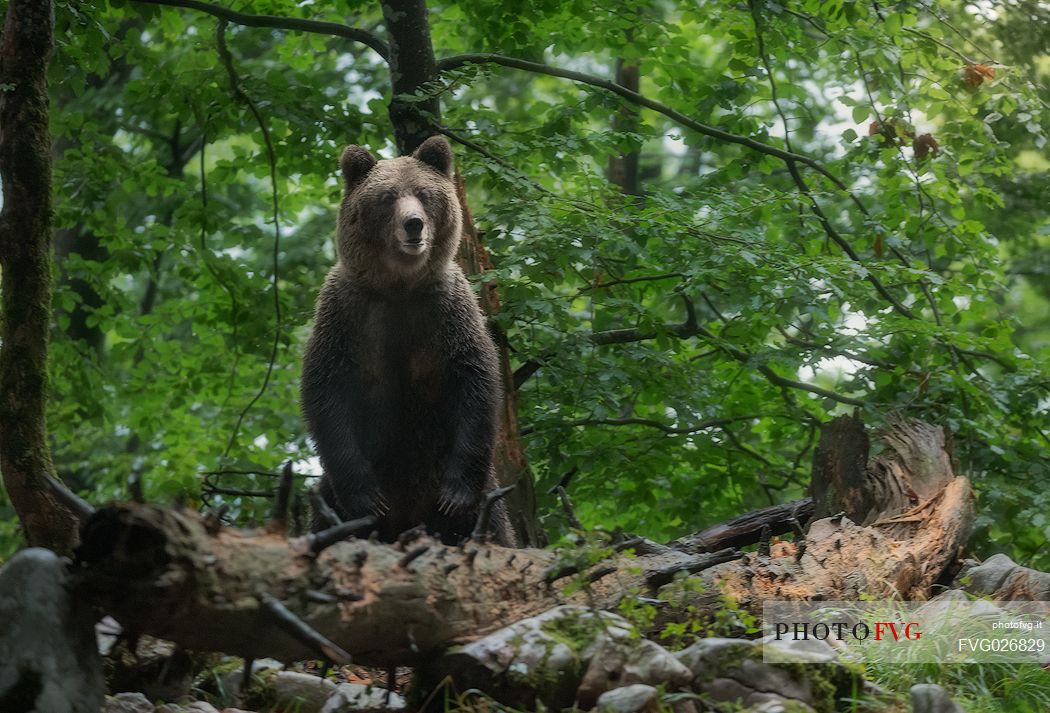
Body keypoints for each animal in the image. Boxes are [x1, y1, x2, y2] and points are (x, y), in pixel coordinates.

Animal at [298, 135, 514, 546]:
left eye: (425, 193)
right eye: (387, 197)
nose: (413, 224)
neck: (399, 289)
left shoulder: (446, 311)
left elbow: (474, 379)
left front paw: (454, 495)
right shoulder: (348, 315)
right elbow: (327, 390)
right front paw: (368, 498)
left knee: (493, 525)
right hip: (331, 499)